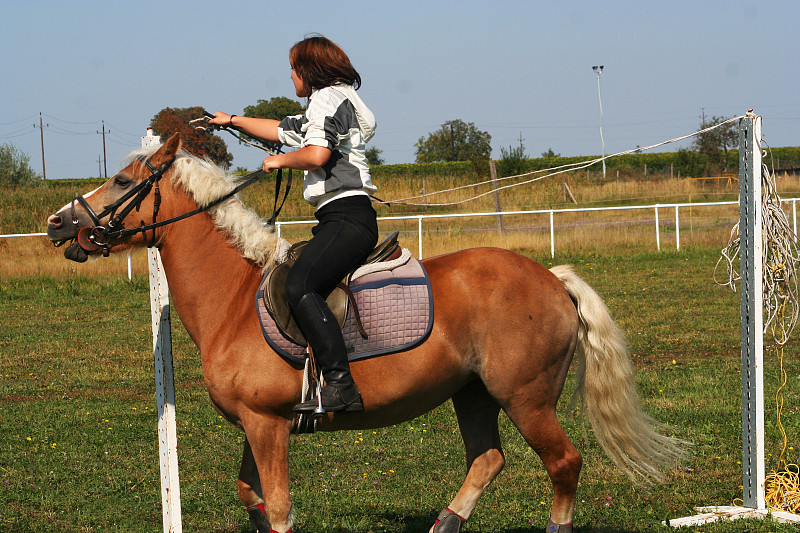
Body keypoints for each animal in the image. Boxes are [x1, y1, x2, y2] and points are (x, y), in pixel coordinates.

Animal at [43, 134, 684, 532]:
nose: (57, 223)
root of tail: (551, 277)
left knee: (564, 464)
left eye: (120, 179)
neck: (233, 301)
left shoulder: (267, 425)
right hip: (473, 394)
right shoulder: (258, 424)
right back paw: (444, 523)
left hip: (525, 397)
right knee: (487, 459)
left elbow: (279, 509)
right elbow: (251, 497)